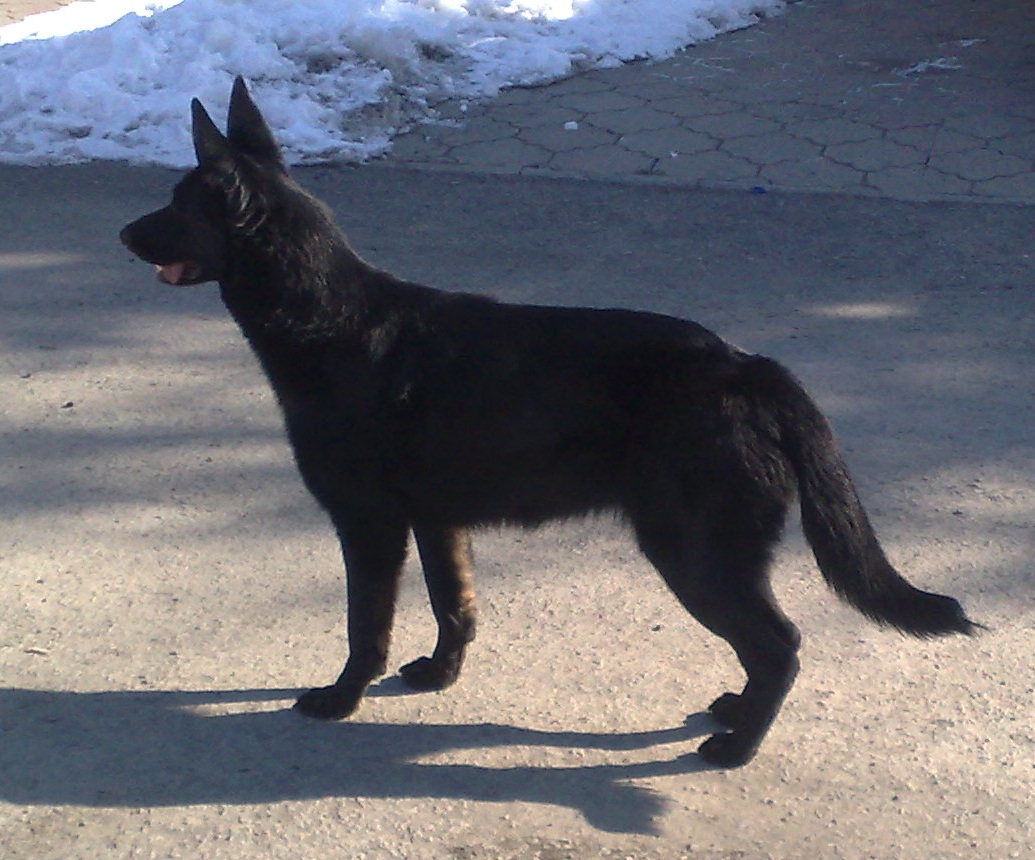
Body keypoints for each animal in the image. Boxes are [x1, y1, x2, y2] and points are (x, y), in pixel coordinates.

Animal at [120, 77, 977, 767]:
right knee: (765, 648)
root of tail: (744, 366)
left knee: (780, 646)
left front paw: (342, 698)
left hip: (692, 555)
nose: (122, 234)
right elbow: (454, 607)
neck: (326, 322)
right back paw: (734, 714)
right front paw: (439, 676)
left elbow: (366, 626)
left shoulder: (369, 526)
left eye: (177, 205)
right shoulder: (437, 523)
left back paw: (736, 748)